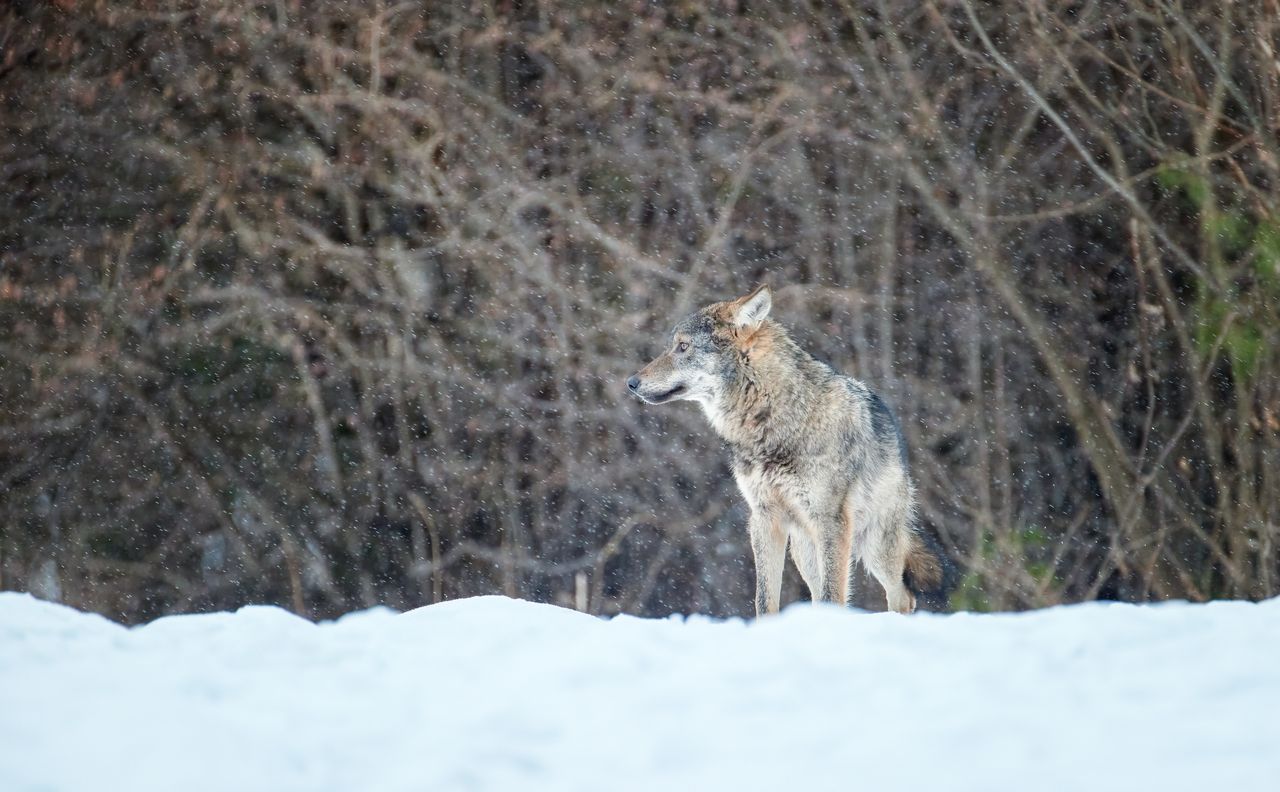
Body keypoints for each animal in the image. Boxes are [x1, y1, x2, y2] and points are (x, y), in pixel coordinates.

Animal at [624, 286, 947, 619]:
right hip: (805, 550)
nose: (631, 382)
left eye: (683, 346)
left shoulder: (831, 521)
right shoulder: (764, 518)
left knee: (901, 596)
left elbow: (834, 594)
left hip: (875, 546)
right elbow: (764, 599)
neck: (773, 420)